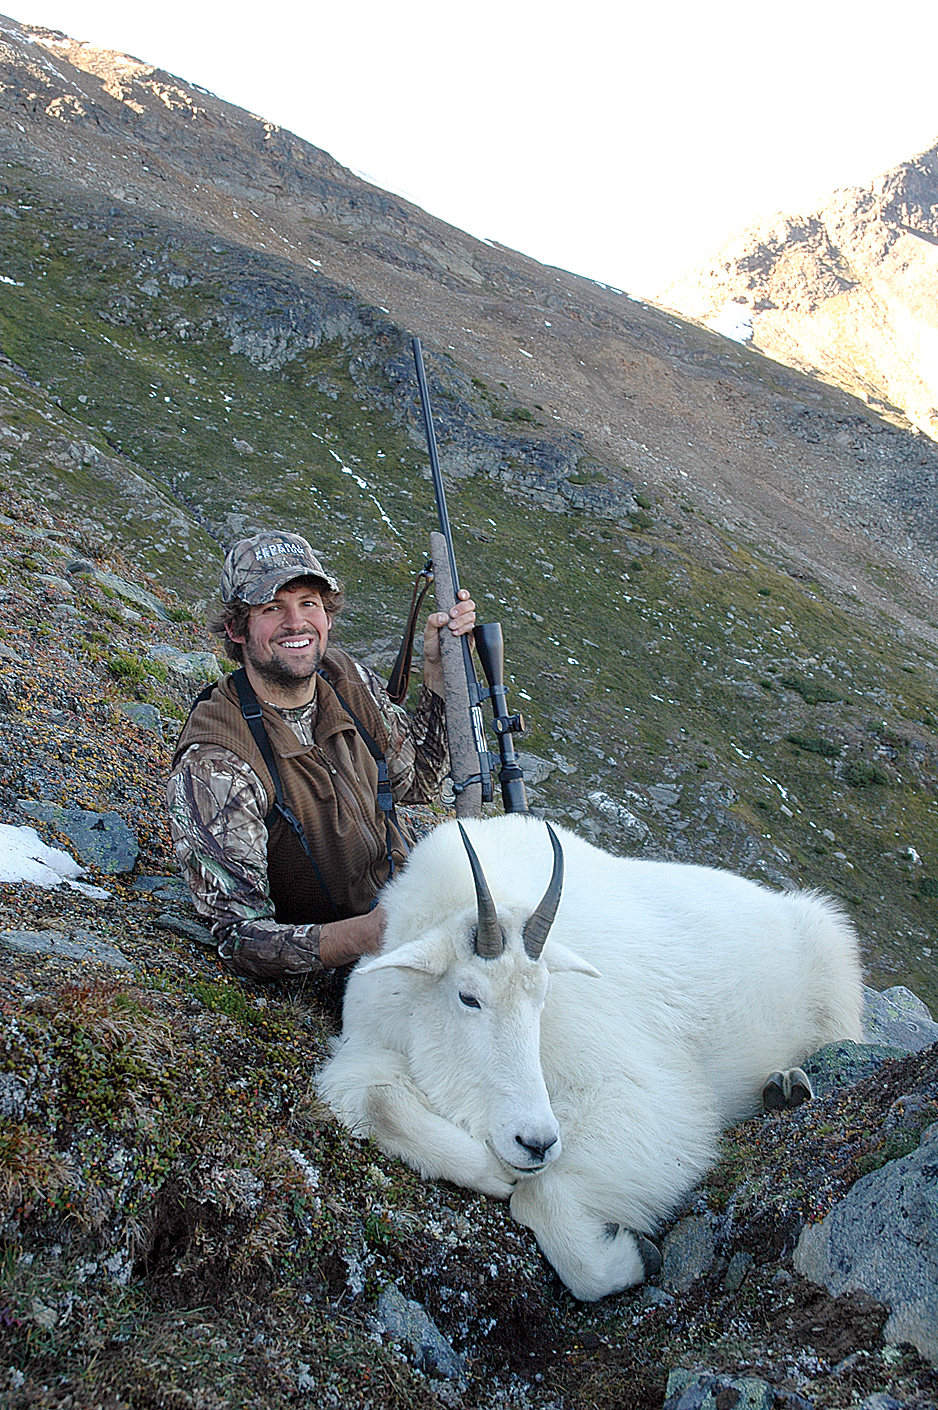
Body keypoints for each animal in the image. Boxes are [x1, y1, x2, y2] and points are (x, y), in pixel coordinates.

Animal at [317, 814, 863, 1300]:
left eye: (543, 996)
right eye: (468, 997)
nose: (534, 1142)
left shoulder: (637, 1089)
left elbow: (539, 1198)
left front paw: (634, 1256)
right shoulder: (370, 1047)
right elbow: (378, 1100)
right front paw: (493, 1170)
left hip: (836, 966)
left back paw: (789, 1085)